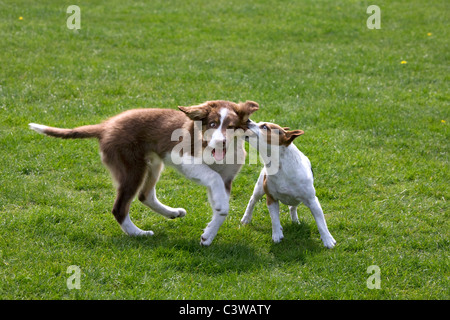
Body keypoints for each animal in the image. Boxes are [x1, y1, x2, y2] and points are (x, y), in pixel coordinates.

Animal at [29, 101, 256, 246]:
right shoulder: (183, 157)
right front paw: (218, 212)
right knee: (120, 208)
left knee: (145, 195)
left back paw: (171, 213)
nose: (220, 142)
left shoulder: (227, 179)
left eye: (231, 126)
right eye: (212, 124)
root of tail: (105, 126)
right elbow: (212, 177)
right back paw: (138, 234)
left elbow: (221, 209)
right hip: (132, 168)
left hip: (152, 165)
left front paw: (208, 235)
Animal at [243, 120, 334, 248]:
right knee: (252, 201)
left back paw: (295, 221)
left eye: (264, 127)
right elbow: (275, 219)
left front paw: (327, 240)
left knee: (292, 207)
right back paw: (246, 218)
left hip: (297, 199)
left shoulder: (312, 200)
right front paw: (277, 234)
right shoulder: (271, 198)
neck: (280, 165)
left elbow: (321, 222)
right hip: (259, 188)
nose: (248, 120)